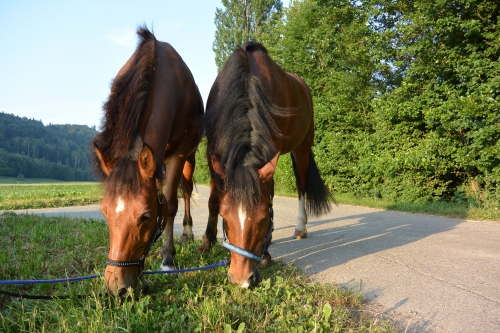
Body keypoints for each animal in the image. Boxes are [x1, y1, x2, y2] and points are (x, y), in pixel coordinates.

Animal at [94, 26, 203, 296]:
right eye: (104, 212)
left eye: (145, 217)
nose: (115, 287)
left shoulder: (179, 152)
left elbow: (171, 203)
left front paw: (168, 259)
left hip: (190, 157)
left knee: (186, 191)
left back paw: (187, 232)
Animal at [198, 40, 332, 286]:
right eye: (225, 216)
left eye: (262, 218)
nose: (241, 279)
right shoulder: (215, 153)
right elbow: (213, 199)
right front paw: (206, 242)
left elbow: (270, 195)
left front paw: (267, 252)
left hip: (302, 148)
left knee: (301, 185)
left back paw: (300, 227)